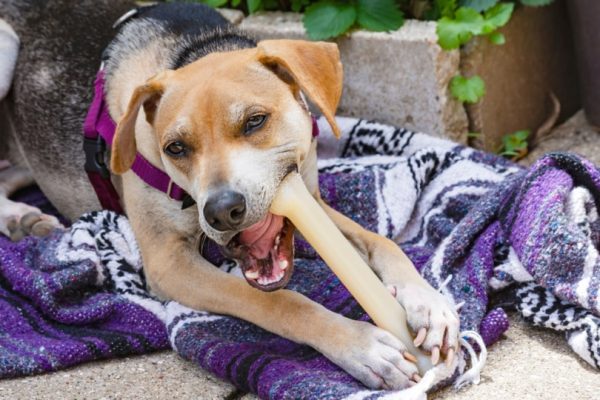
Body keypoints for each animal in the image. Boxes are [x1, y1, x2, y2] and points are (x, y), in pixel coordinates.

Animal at [1, 1, 460, 390]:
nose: (222, 211)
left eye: (255, 121)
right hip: (6, 46)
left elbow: (383, 243)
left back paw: (23, 216)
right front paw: (360, 344)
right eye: (175, 148)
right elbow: (281, 302)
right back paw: (18, 217)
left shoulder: (312, 201)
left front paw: (428, 303)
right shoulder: (168, 262)